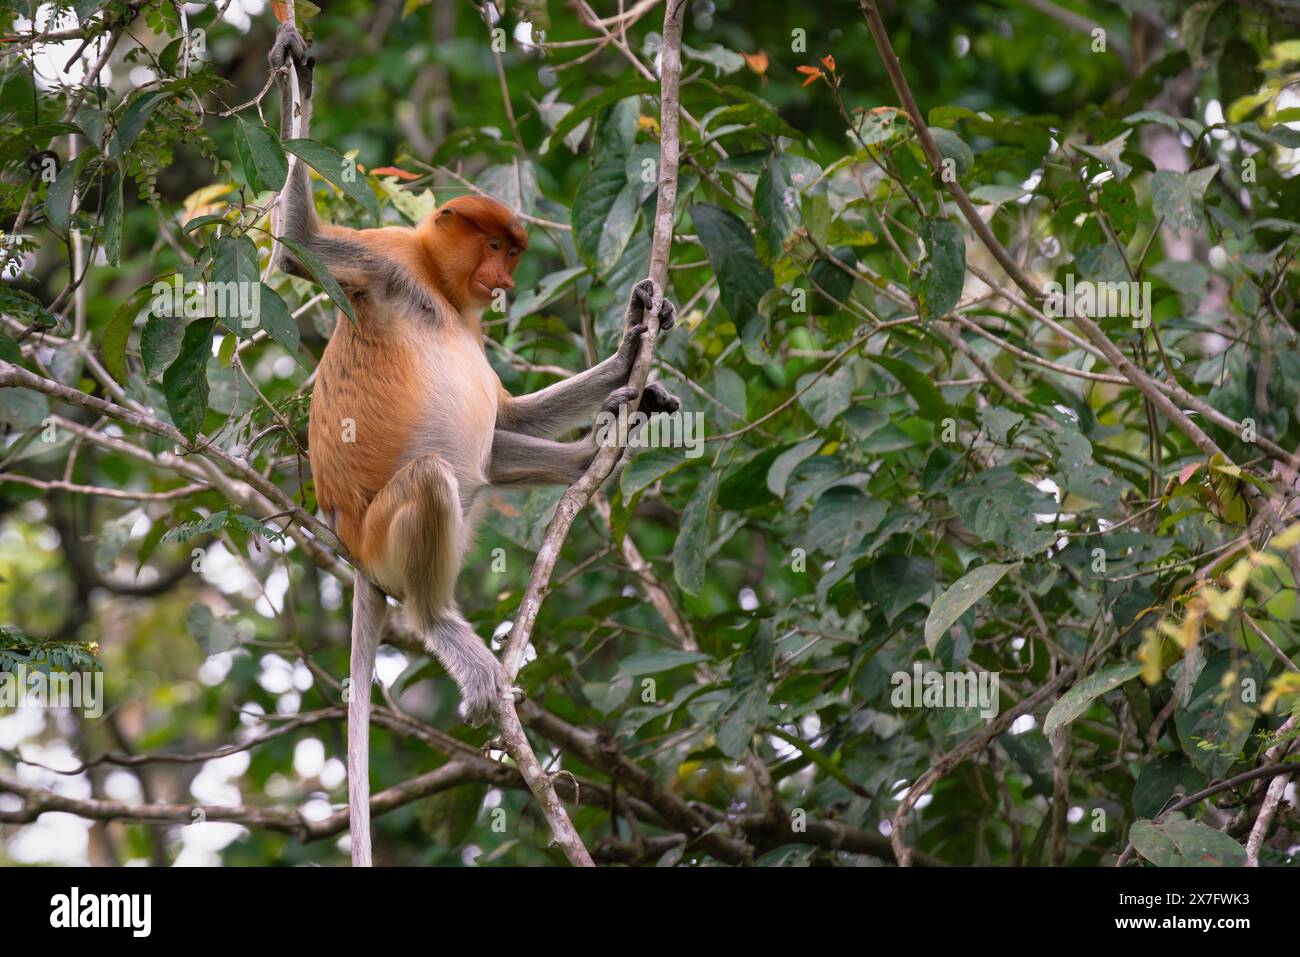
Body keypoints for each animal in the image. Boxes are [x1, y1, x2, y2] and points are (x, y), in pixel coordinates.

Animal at [268, 22, 678, 866]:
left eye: (512, 251)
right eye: (492, 243)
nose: (502, 279)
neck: (437, 286)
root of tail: (348, 545)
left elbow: (507, 414)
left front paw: (638, 340)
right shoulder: (385, 256)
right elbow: (297, 247)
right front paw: (296, 70)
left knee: (487, 458)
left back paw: (603, 447)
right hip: (385, 532)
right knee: (436, 478)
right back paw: (447, 632)